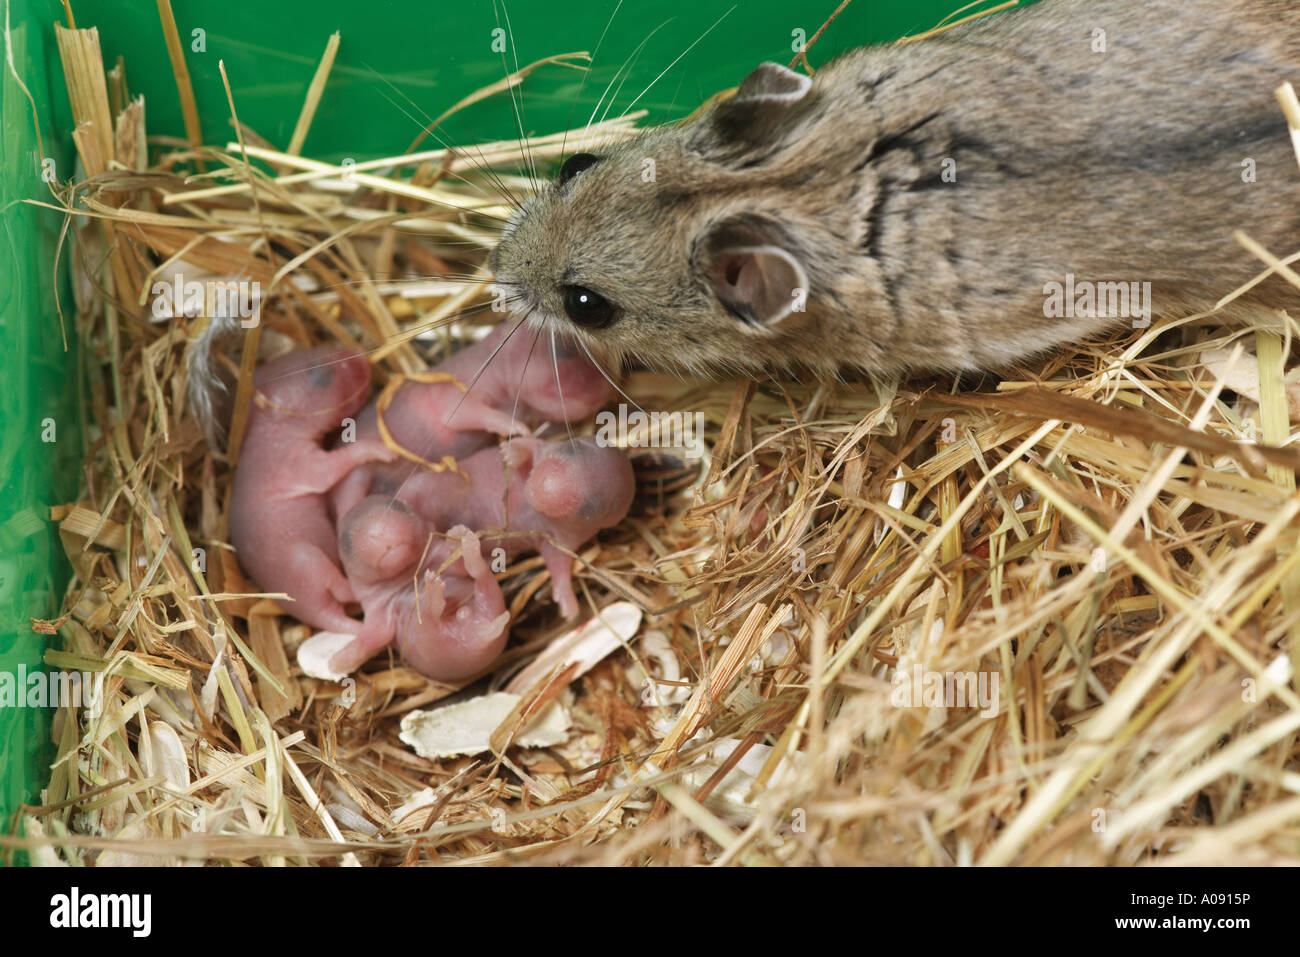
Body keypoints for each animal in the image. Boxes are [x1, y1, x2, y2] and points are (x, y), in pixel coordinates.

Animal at [228, 348, 392, 634]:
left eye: (312, 350)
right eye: (321, 375)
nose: (359, 356)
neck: (264, 431)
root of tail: (309, 610)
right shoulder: (291, 460)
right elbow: (327, 470)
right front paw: (375, 447)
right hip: (305, 562)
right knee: (338, 587)